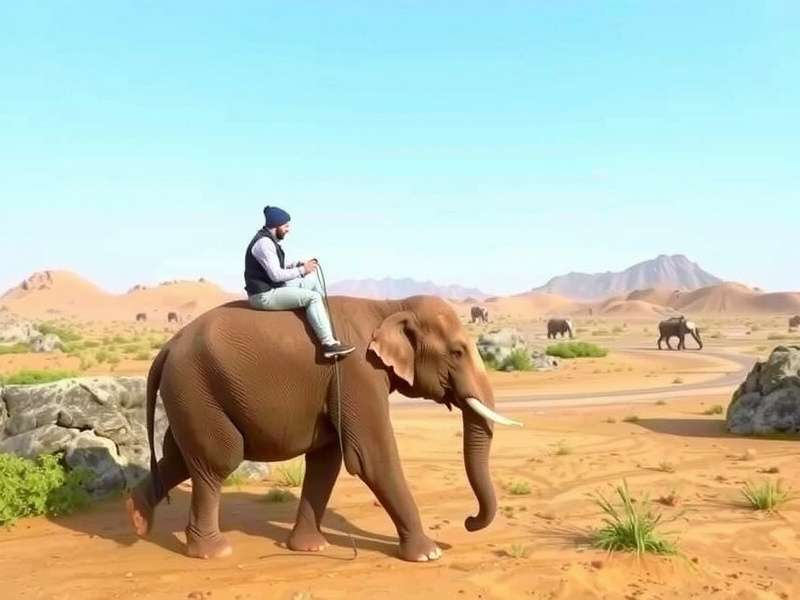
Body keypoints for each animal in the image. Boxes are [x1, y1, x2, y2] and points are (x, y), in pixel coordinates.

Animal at [126, 295, 520, 562]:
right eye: (457, 352)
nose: (468, 522)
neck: (388, 307)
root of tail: (166, 348)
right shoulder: (356, 372)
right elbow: (371, 457)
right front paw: (428, 554)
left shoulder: (340, 384)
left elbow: (327, 459)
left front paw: (309, 548)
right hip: (196, 390)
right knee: (218, 460)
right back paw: (214, 551)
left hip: (189, 396)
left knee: (180, 458)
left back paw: (138, 517)